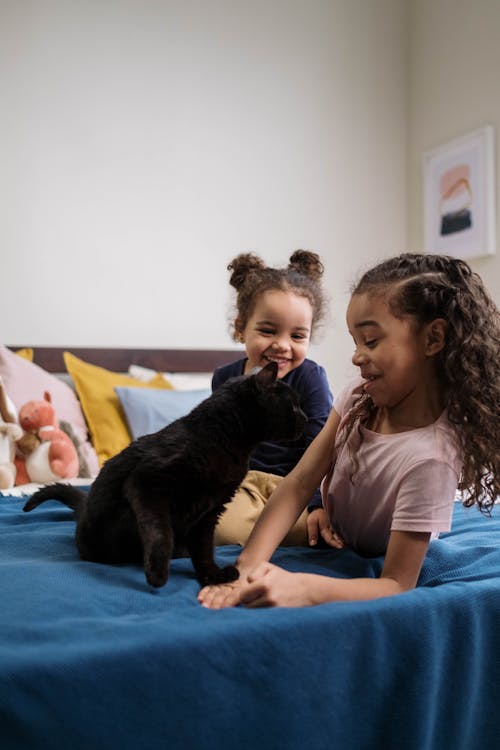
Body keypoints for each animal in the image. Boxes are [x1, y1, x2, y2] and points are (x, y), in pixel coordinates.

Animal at [23, 362, 306, 592]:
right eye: (293, 406)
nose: (305, 419)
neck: (223, 438)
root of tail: (83, 511)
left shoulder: (211, 509)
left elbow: (204, 547)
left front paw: (210, 575)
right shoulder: (148, 483)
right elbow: (161, 532)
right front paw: (158, 573)